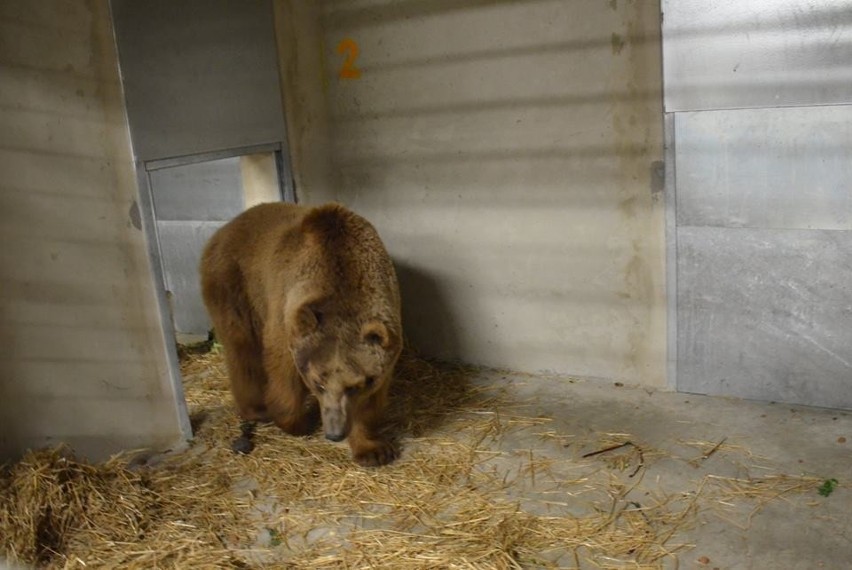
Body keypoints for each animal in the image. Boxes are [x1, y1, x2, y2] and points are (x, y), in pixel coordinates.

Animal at [200, 202, 402, 464]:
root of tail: (224, 228)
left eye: (355, 386)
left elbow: (370, 400)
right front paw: (297, 422)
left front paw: (373, 449)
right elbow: (283, 374)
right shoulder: (286, 317)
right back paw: (256, 409)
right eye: (318, 383)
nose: (335, 433)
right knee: (243, 351)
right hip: (233, 284)